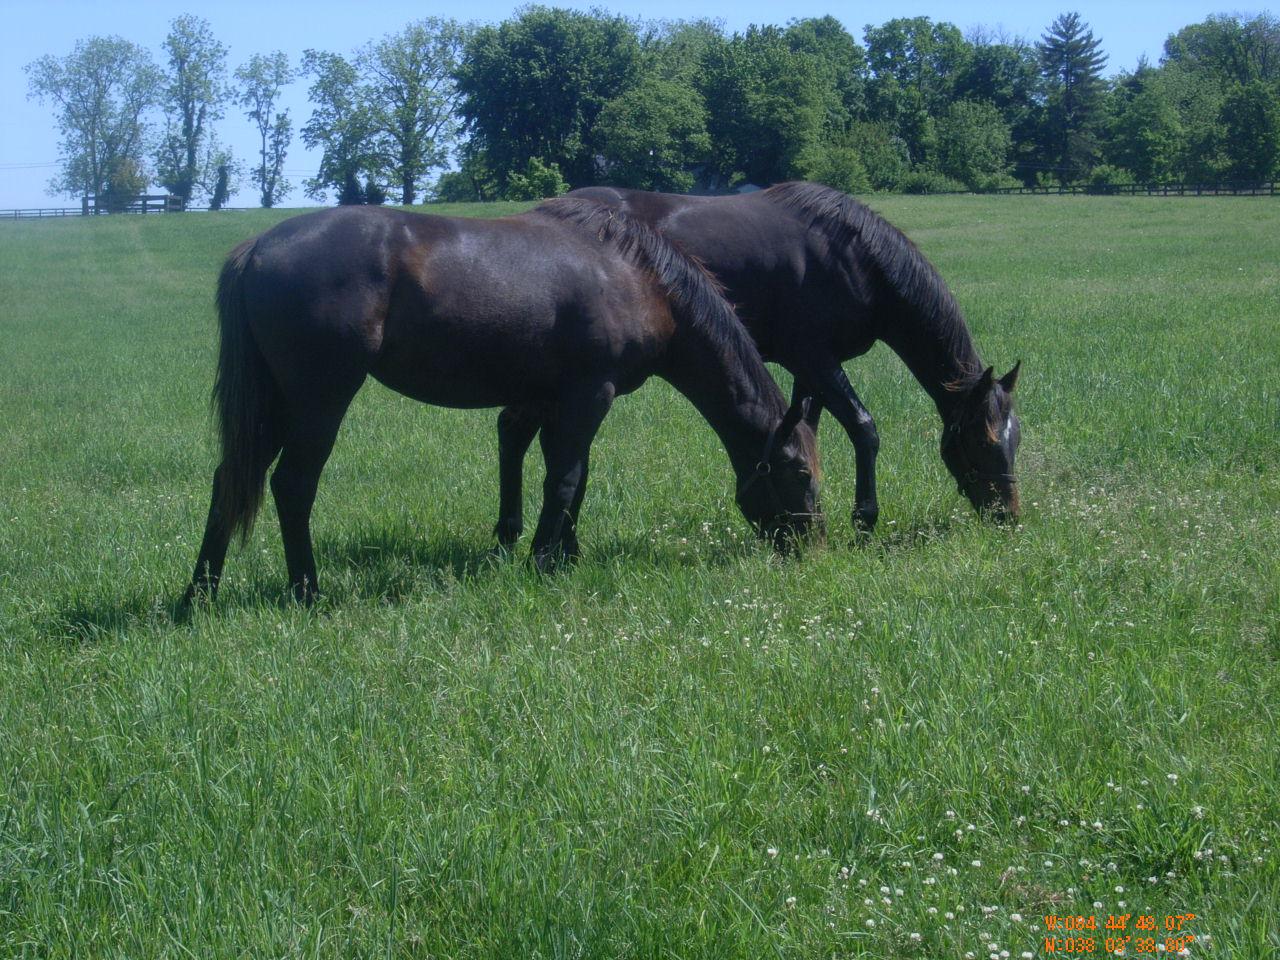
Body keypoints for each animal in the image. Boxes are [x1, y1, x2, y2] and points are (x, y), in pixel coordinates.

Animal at [183, 199, 819, 604]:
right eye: (801, 473)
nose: (812, 545)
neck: (636, 277)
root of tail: (257, 247)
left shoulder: (550, 397)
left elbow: (569, 476)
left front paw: (562, 553)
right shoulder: (590, 395)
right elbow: (564, 479)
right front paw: (543, 560)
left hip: (273, 403)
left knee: (229, 478)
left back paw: (200, 594)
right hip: (318, 400)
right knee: (293, 485)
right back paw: (306, 591)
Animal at [488, 179, 1018, 542]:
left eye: (1015, 439)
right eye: (983, 441)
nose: (1009, 517)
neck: (851, 255)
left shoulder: (809, 368)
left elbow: (809, 429)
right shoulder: (815, 357)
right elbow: (863, 428)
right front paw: (864, 520)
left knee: (514, 429)